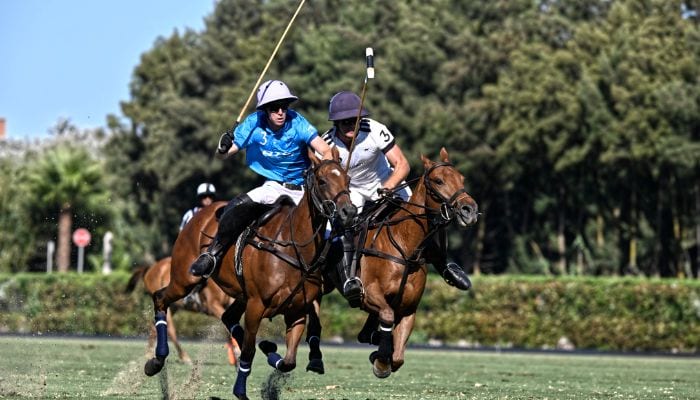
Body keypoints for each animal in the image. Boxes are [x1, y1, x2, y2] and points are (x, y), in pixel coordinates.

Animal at [146, 148, 358, 398]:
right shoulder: (256, 305)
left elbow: (289, 361)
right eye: (323, 181)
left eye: (348, 180)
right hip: (185, 279)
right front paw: (240, 390)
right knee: (160, 299)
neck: (294, 246)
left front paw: (270, 352)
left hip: (239, 294)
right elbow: (248, 352)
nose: (349, 212)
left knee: (228, 318)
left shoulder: (296, 311)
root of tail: (200, 214)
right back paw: (156, 361)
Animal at [308, 148, 478, 378]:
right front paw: (380, 361)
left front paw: (380, 355)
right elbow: (386, 317)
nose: (470, 209)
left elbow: (398, 357)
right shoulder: (370, 294)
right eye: (438, 180)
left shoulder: (408, 308)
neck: (405, 246)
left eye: (462, 178)